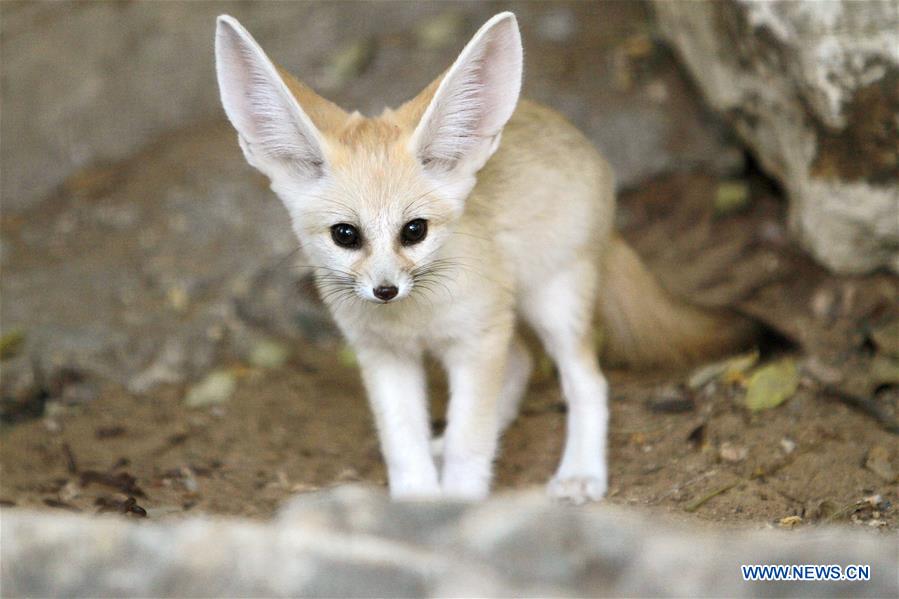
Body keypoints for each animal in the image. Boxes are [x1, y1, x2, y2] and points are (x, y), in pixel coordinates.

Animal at [214, 12, 756, 502]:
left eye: (414, 230)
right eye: (345, 235)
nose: (385, 290)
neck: (413, 318)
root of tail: (587, 151)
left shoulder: (476, 340)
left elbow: (469, 446)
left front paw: (457, 503)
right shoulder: (383, 355)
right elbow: (404, 448)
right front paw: (417, 504)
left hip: (552, 302)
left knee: (588, 382)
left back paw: (580, 472)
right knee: (519, 364)